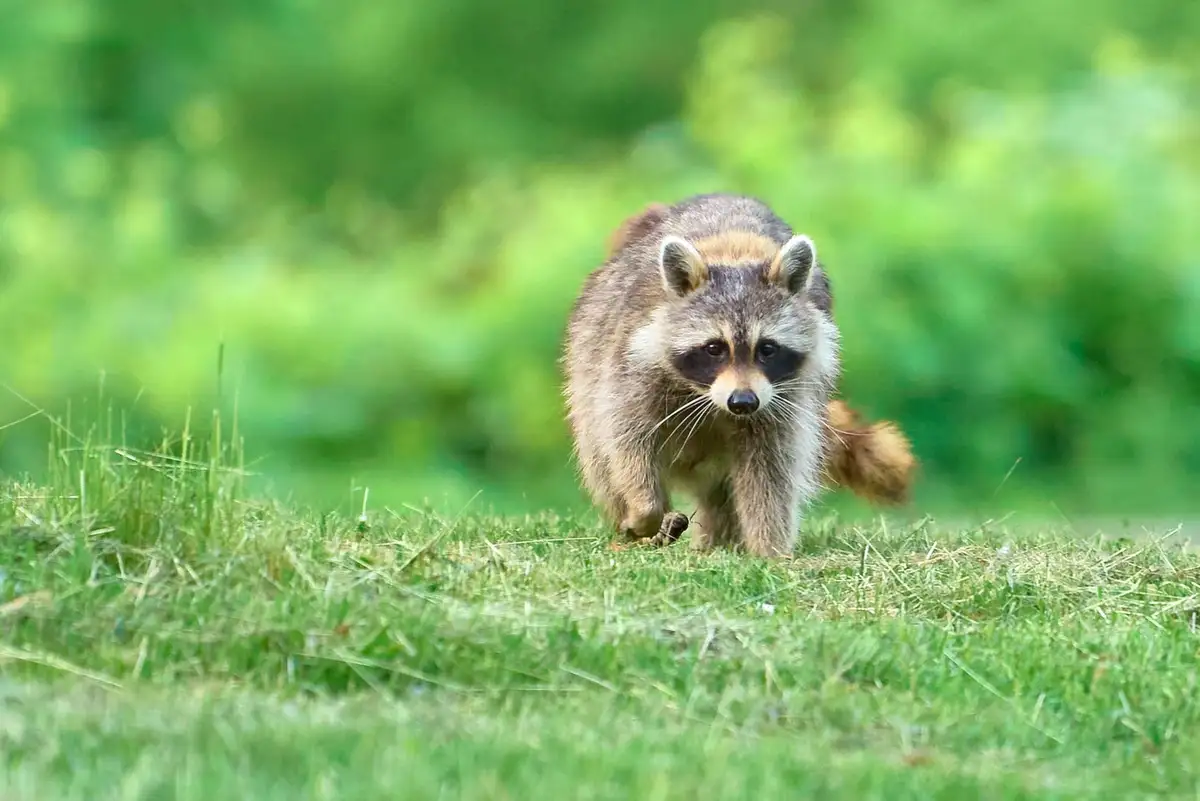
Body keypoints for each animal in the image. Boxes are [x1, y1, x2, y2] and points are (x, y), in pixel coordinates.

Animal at [563, 193, 915, 558]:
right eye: (714, 348)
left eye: (767, 349)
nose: (743, 402)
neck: (734, 255)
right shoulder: (633, 365)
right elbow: (627, 441)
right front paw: (644, 511)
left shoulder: (784, 398)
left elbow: (771, 472)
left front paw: (770, 550)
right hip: (589, 355)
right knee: (599, 457)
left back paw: (717, 542)